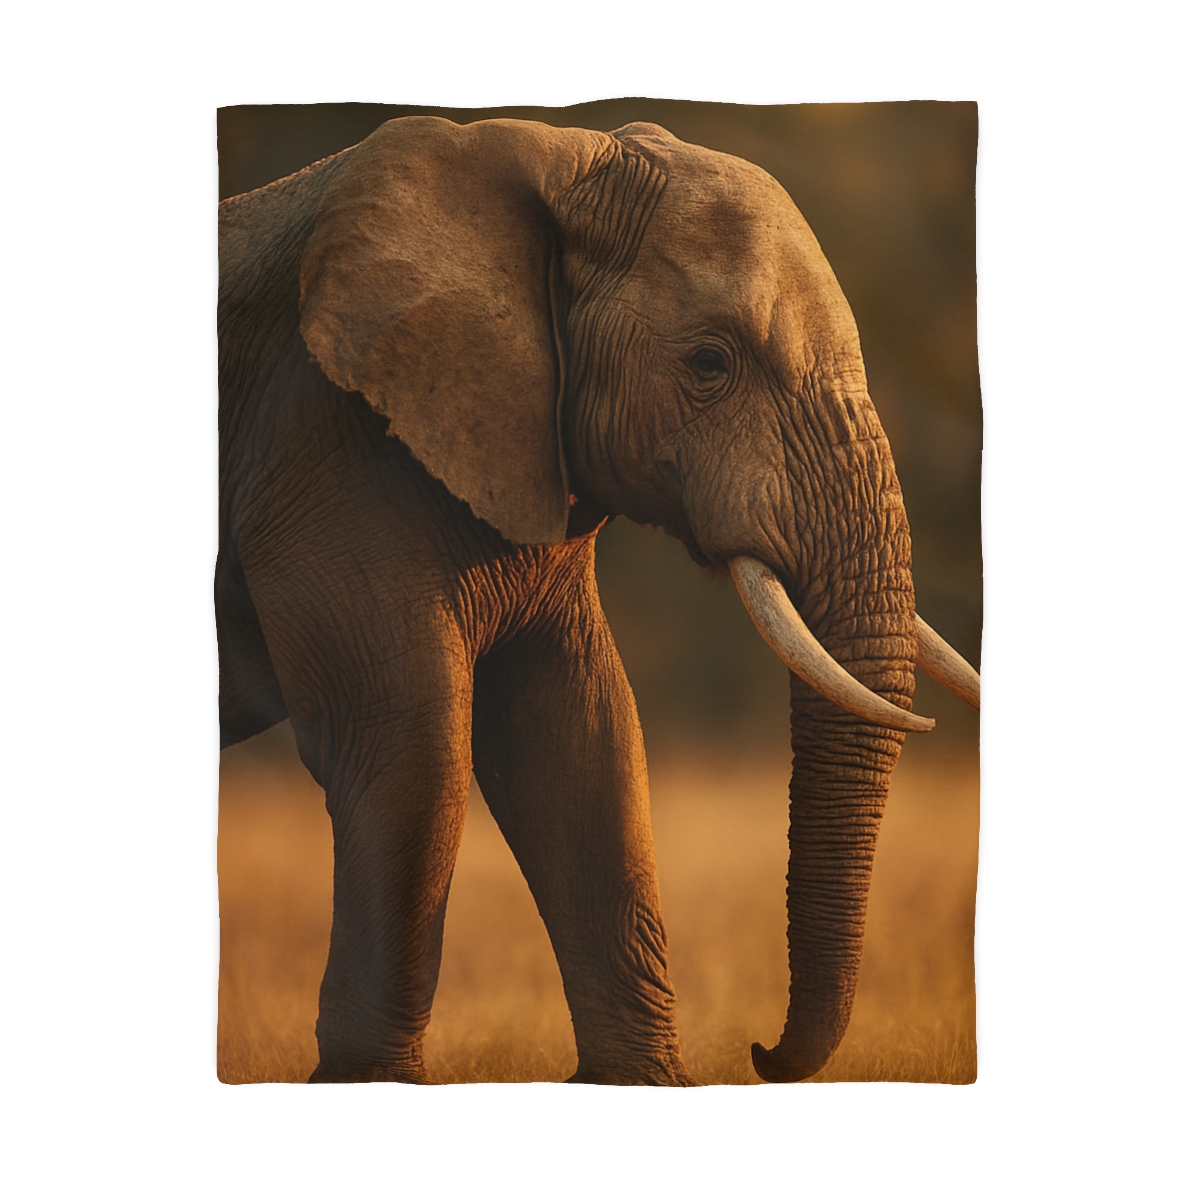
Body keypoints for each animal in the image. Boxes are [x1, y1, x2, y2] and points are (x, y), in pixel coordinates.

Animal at [217, 115, 980, 1085]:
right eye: (709, 363)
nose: (761, 1050)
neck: (554, 153)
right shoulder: (327, 443)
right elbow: (413, 751)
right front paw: (369, 1086)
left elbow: (583, 745)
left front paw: (643, 1085)